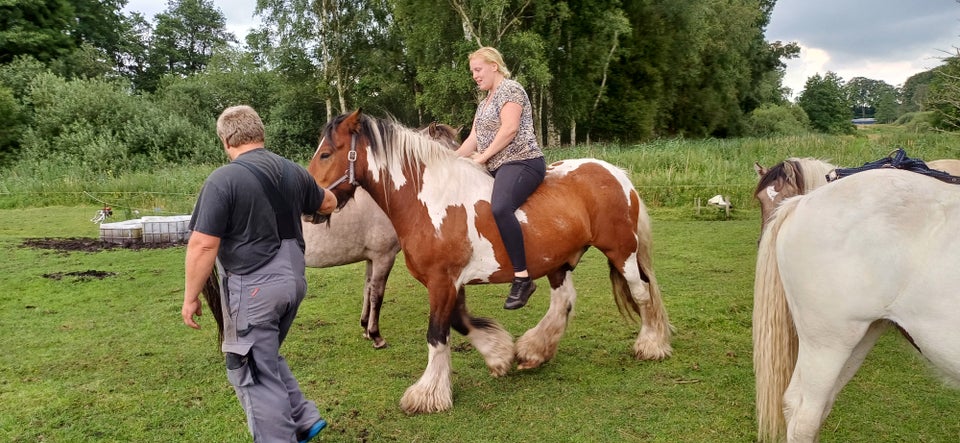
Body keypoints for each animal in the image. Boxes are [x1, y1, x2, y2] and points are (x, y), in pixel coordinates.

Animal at [312, 111, 672, 416]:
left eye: (326, 154)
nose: (314, 204)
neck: (428, 201)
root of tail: (616, 174)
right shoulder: (449, 283)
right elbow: (459, 322)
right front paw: (498, 355)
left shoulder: (442, 282)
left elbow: (437, 333)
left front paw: (428, 395)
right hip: (558, 260)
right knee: (564, 301)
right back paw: (534, 351)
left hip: (621, 252)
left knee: (642, 294)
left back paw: (650, 345)